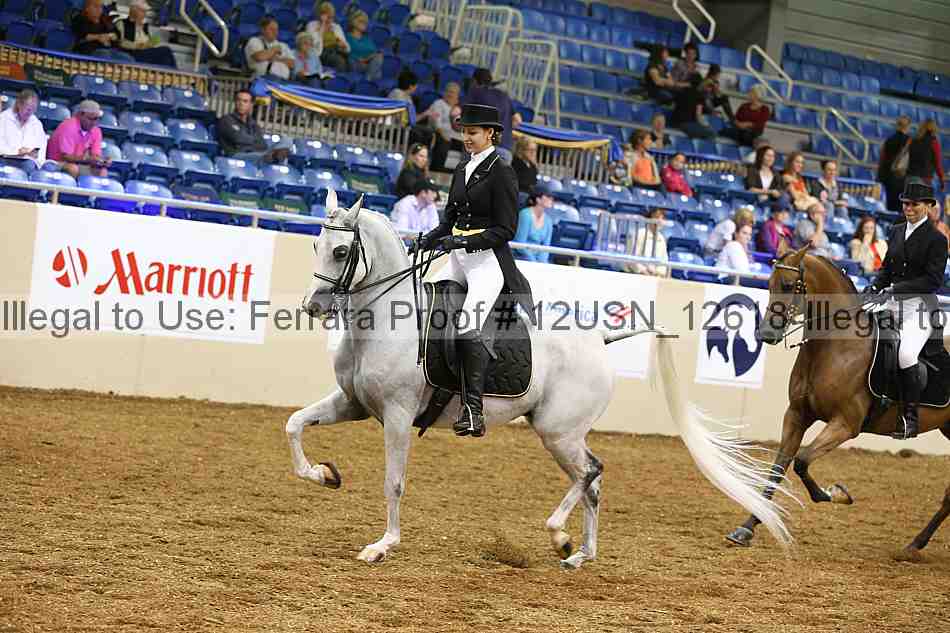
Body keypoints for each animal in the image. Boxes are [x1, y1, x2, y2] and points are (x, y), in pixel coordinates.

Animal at [287, 190, 792, 568]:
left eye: (340, 250)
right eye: (314, 246)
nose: (314, 307)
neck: (387, 322)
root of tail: (600, 340)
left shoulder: (396, 415)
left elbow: (393, 482)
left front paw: (382, 546)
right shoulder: (353, 403)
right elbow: (294, 425)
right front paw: (324, 474)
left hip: (557, 431)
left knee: (591, 472)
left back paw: (559, 537)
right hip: (561, 432)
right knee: (593, 481)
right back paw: (581, 553)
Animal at [725, 243, 950, 556]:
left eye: (788, 285)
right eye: (768, 284)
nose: (766, 334)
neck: (834, 344)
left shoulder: (845, 424)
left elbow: (802, 462)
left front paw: (836, 494)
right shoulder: (796, 415)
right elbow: (778, 468)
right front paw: (746, 528)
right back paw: (914, 545)